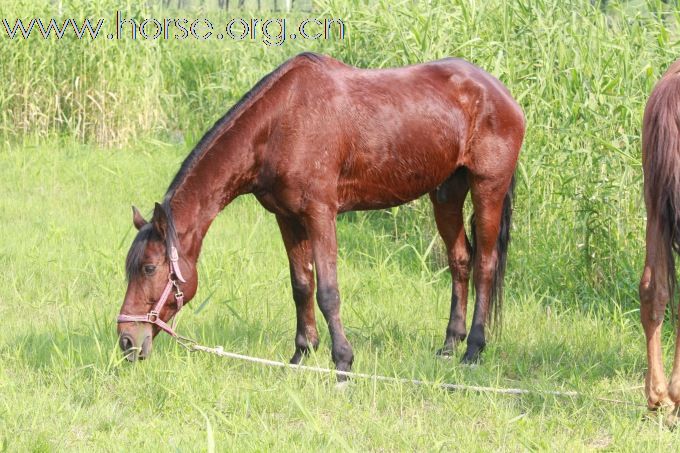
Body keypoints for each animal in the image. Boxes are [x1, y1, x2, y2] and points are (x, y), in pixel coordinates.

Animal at [117, 52, 524, 374]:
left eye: (149, 268)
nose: (125, 341)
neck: (280, 123)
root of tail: (501, 93)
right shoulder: (287, 217)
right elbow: (302, 285)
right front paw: (301, 355)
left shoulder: (320, 213)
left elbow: (328, 291)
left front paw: (342, 361)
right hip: (446, 194)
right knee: (460, 261)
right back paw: (450, 345)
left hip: (487, 187)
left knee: (485, 264)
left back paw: (473, 350)